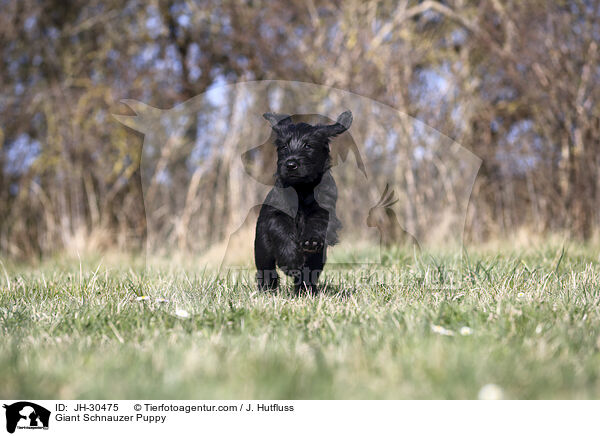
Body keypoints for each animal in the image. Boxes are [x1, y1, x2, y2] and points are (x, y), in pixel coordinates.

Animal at [253, 109, 352, 294]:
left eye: (308, 146)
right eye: (284, 147)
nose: (291, 164)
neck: (302, 189)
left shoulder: (324, 209)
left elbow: (318, 221)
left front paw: (311, 241)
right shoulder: (276, 214)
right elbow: (282, 230)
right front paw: (292, 260)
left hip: (319, 258)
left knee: (310, 271)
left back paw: (305, 290)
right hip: (262, 248)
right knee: (266, 270)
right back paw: (268, 290)